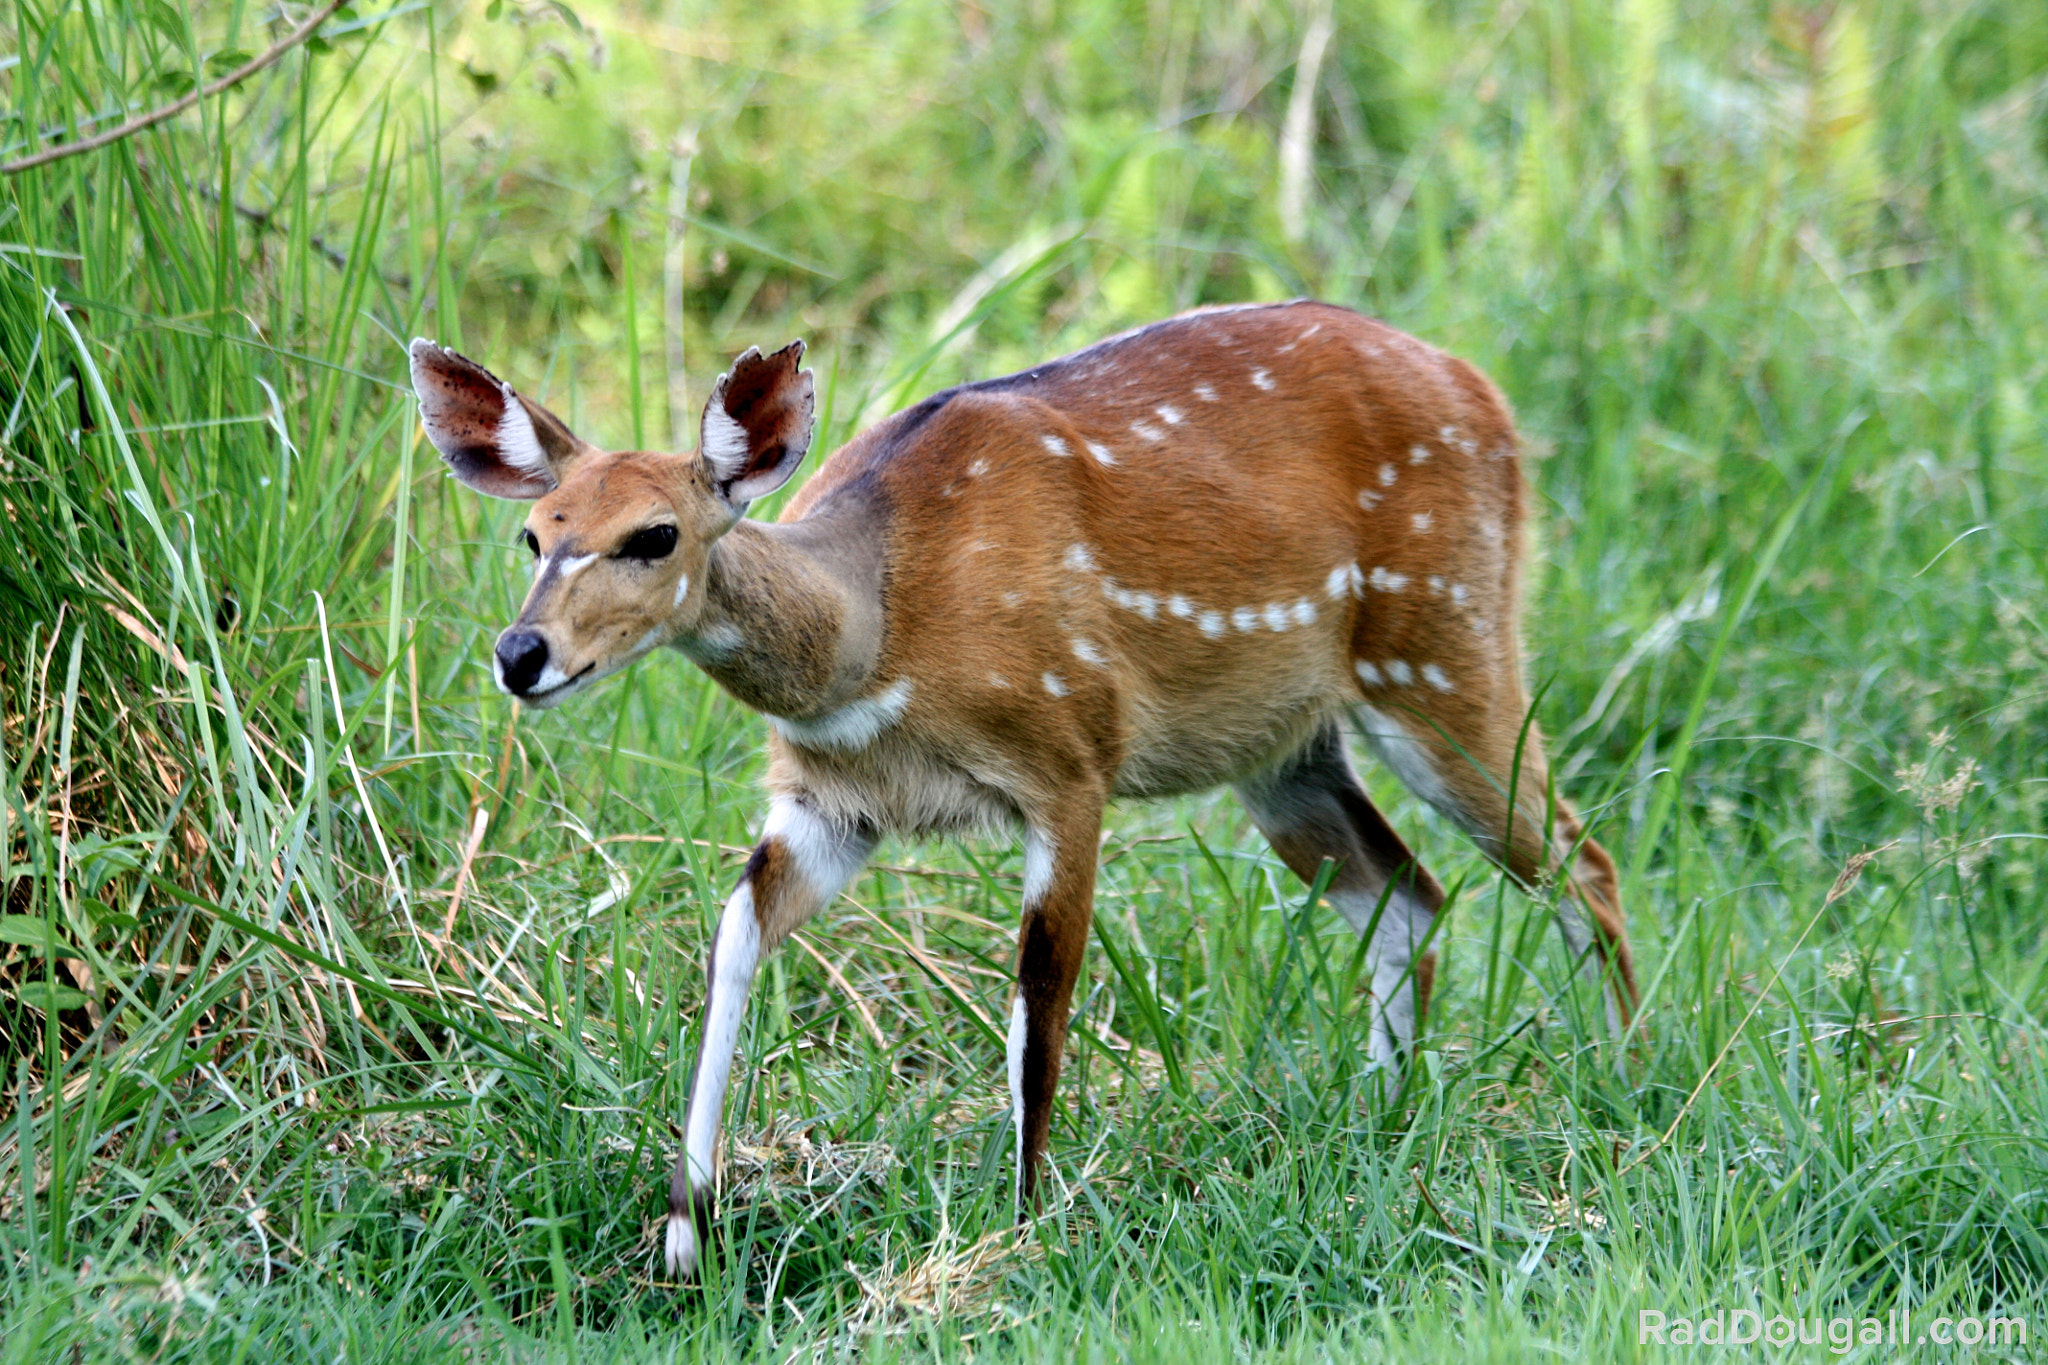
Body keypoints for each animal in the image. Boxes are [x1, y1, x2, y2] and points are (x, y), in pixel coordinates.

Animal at [408, 299, 1637, 1280]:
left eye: (654, 535)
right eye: (534, 533)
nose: (521, 655)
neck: (877, 630)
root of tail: (1483, 392)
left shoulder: (1070, 760)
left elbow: (1040, 999)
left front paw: (1022, 1224)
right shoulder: (829, 807)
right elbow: (733, 936)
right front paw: (681, 1237)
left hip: (1444, 651)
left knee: (1582, 859)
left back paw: (1625, 1088)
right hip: (1284, 753)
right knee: (1405, 893)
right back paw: (1383, 1115)